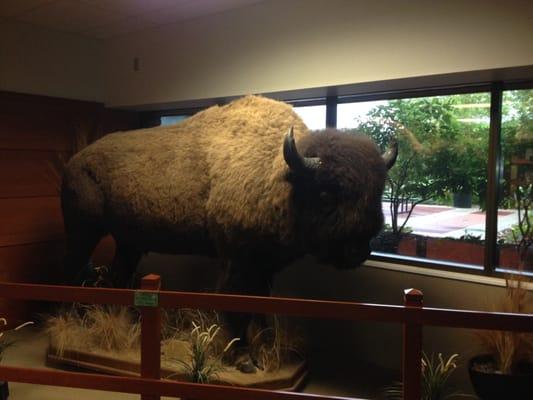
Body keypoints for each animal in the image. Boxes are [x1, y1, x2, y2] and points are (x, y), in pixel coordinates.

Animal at [61, 96, 394, 372]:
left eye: (377, 193)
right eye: (325, 195)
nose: (358, 251)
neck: (278, 175)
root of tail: (74, 161)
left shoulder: (264, 264)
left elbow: (262, 303)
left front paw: (268, 347)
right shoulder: (237, 260)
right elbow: (237, 304)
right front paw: (244, 359)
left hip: (128, 242)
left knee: (118, 275)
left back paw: (123, 323)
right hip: (82, 231)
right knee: (72, 269)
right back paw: (67, 320)